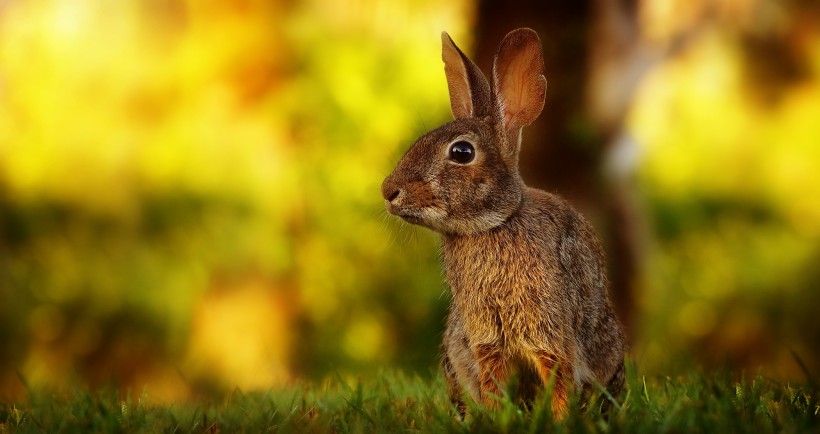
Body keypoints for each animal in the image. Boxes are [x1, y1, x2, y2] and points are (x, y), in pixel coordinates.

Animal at [382, 28, 624, 418]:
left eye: (461, 152)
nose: (388, 191)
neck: (493, 224)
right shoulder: (486, 340)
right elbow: (494, 382)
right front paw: (500, 418)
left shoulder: (549, 329)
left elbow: (559, 378)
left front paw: (560, 421)